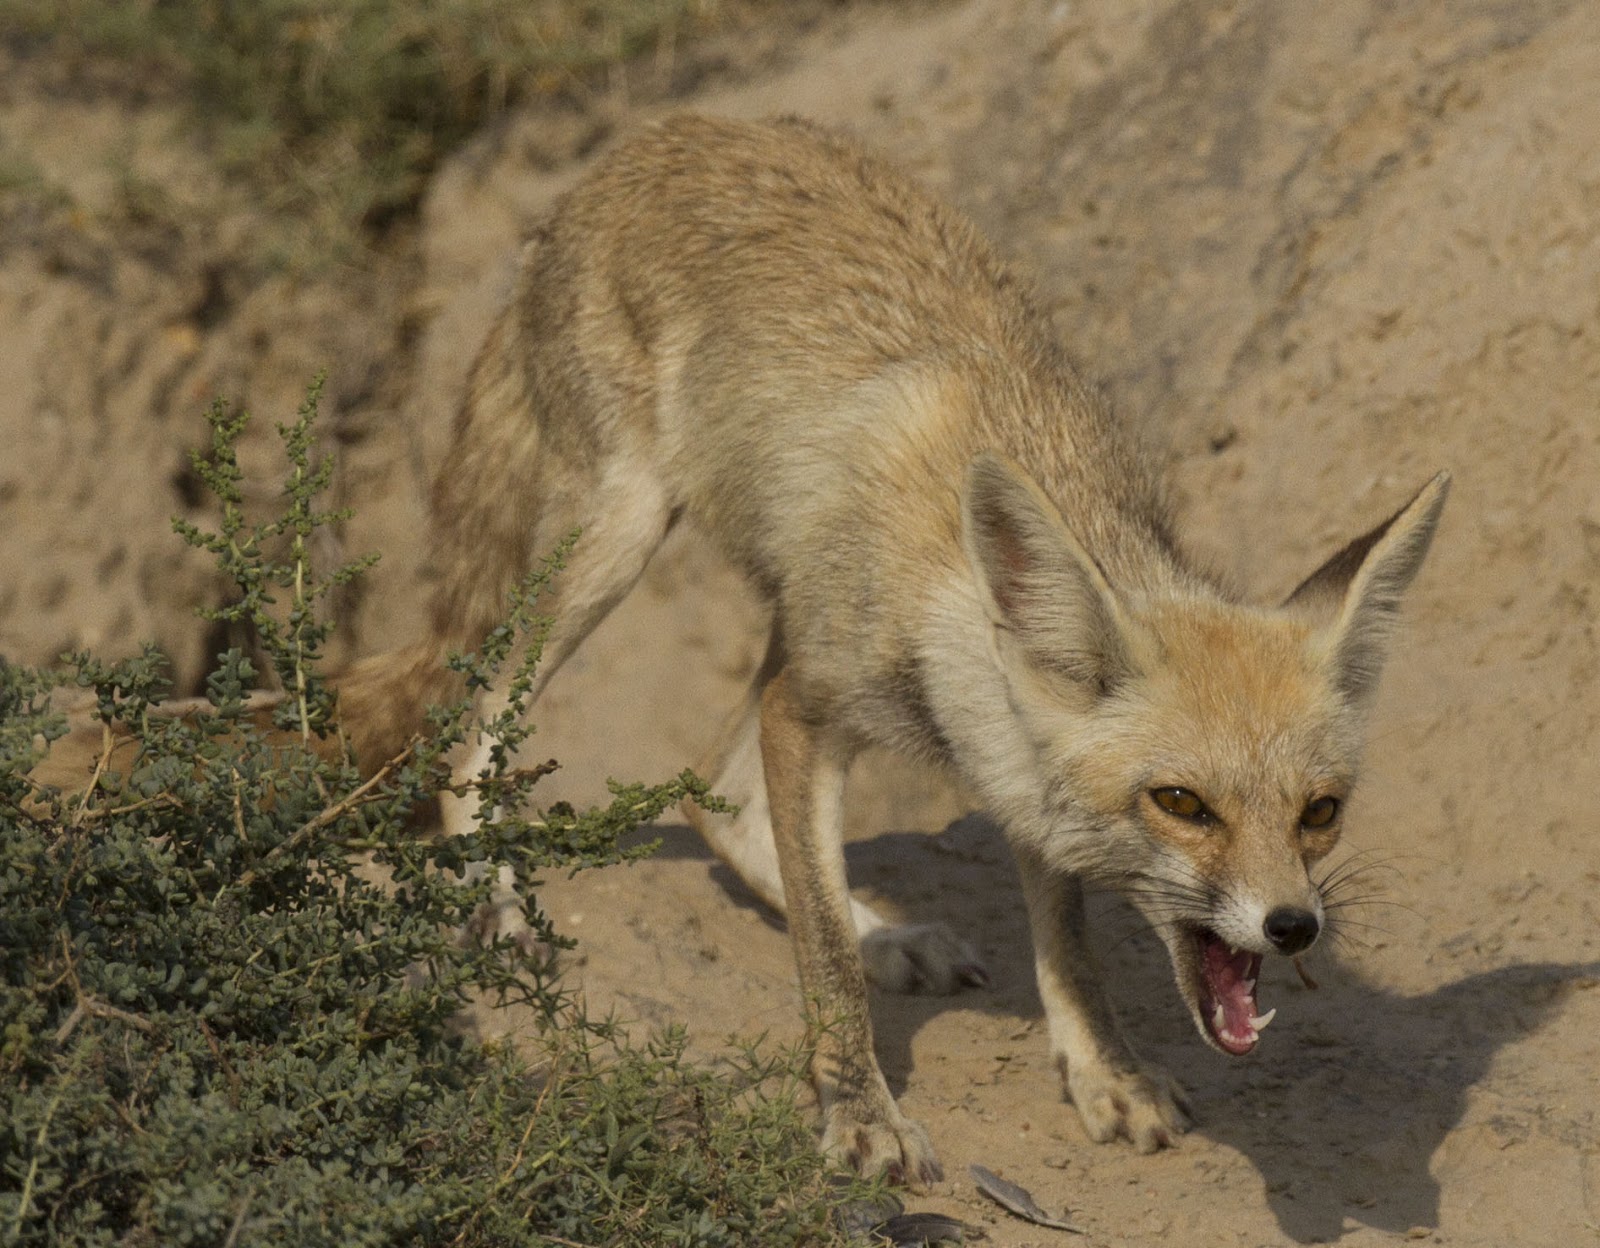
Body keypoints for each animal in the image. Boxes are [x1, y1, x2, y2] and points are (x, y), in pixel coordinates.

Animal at [326, 113, 1449, 1185]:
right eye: (1181, 803)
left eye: (1320, 813)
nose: (1293, 926)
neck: (953, 583)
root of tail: (634, 148)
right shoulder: (808, 707)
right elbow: (821, 956)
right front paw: (860, 1115)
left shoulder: (1000, 754)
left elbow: (1066, 948)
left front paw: (1104, 1073)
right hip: (620, 538)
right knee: (481, 719)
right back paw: (492, 891)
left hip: (776, 598)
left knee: (713, 795)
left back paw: (888, 935)